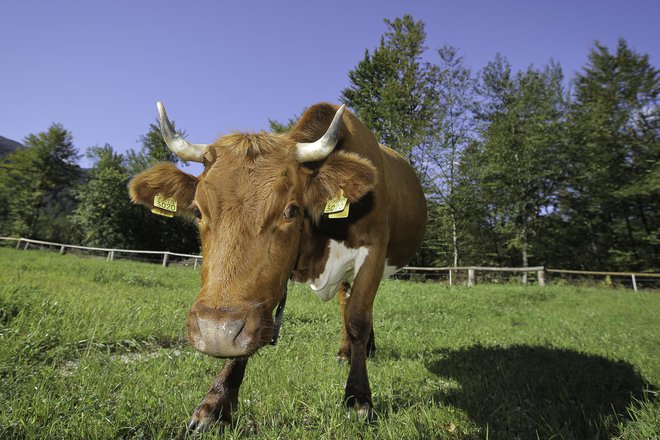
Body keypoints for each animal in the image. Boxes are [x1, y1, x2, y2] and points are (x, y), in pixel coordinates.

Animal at [129, 101, 428, 432]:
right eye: (198, 211)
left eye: (291, 211)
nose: (216, 331)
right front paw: (216, 404)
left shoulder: (373, 252)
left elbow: (358, 319)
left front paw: (359, 398)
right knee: (344, 302)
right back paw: (345, 351)